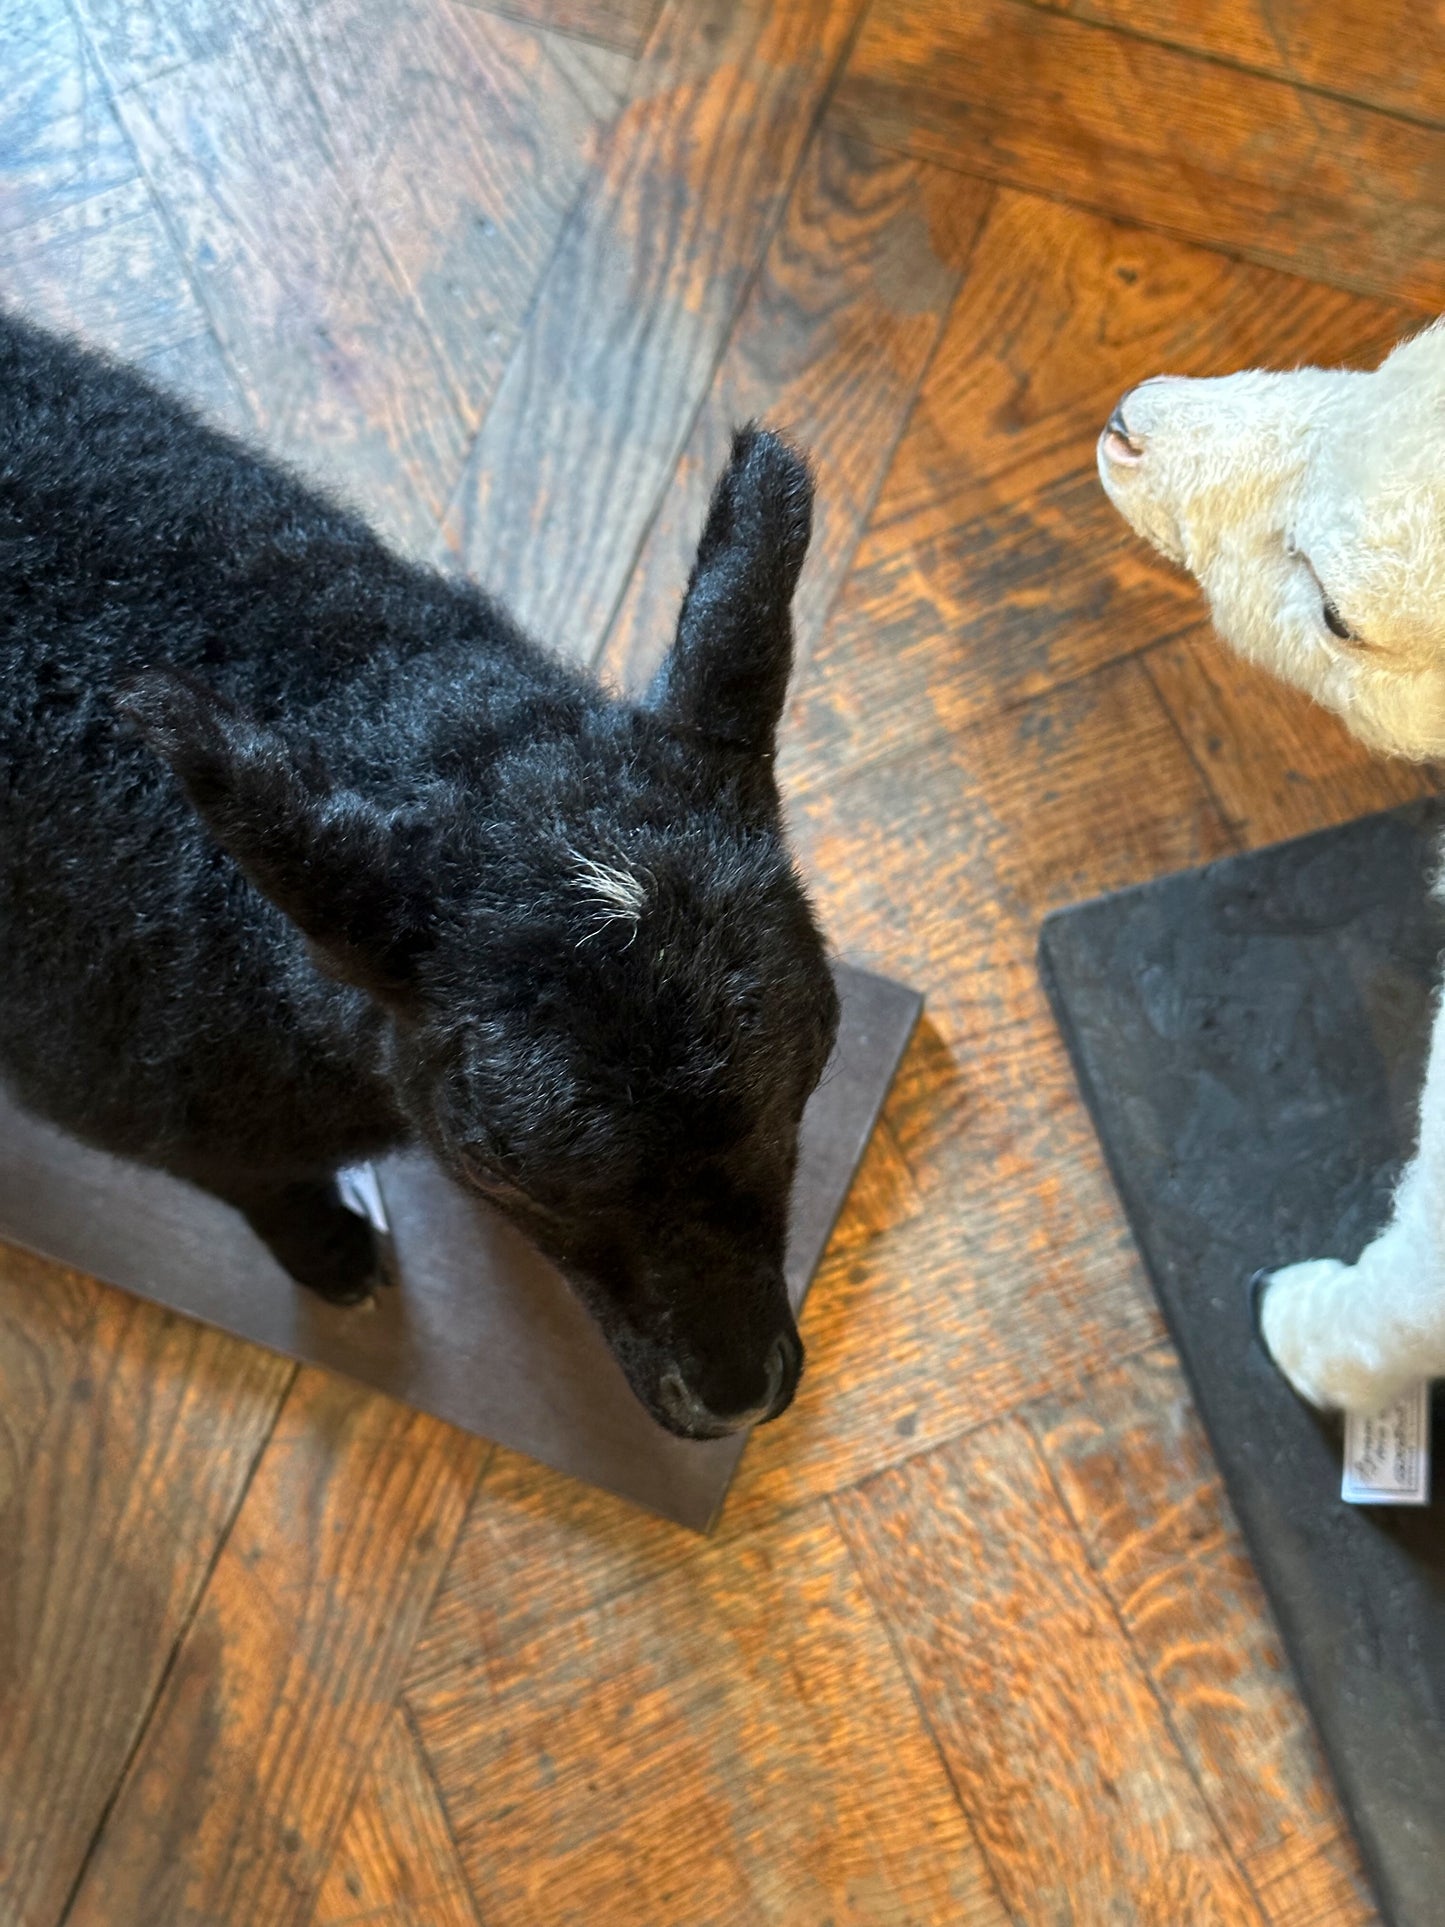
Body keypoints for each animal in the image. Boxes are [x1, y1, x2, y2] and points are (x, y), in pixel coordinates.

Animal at [0, 309, 840, 1441]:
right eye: (501, 1167)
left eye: (813, 1067)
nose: (736, 1396)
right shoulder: (116, 1071)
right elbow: (242, 1178)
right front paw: (330, 1258)